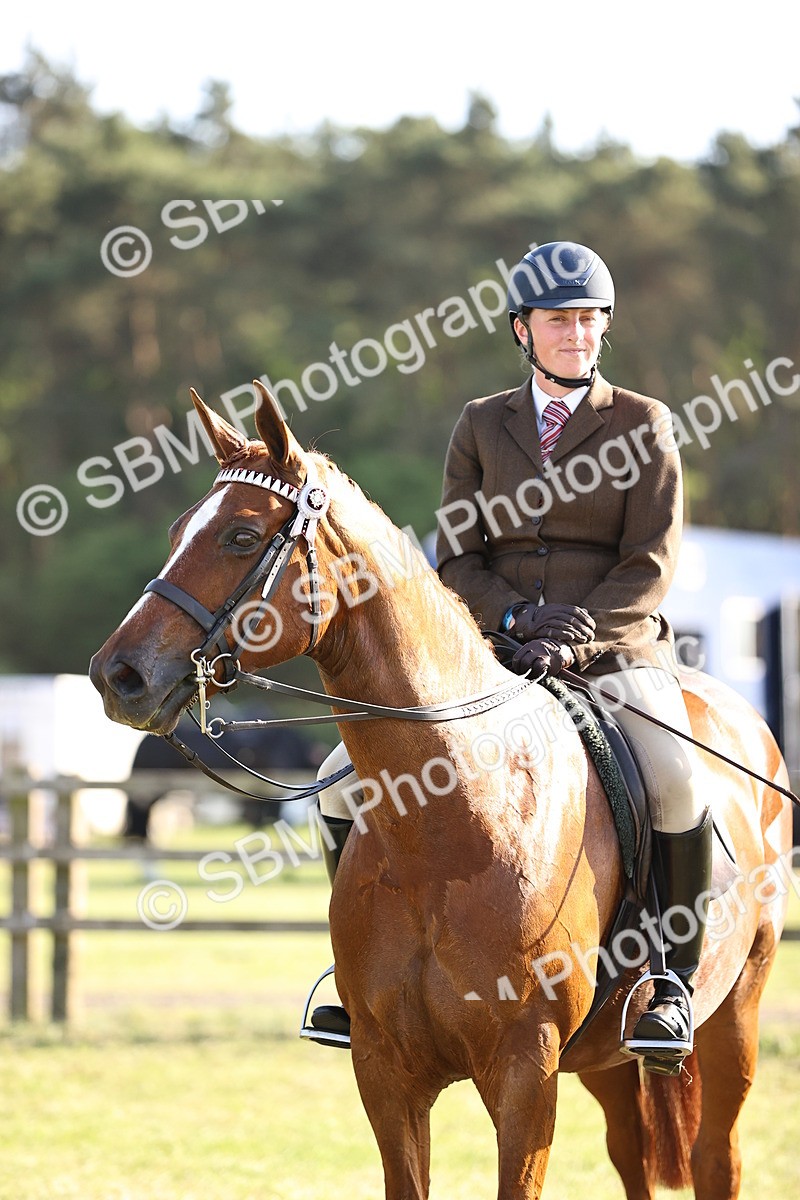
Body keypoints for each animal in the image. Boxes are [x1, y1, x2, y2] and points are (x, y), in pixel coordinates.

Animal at [90, 382, 794, 1200]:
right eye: (179, 531)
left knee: (718, 1155)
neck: (449, 826)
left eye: (239, 536)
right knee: (630, 1154)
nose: (118, 675)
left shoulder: (525, 1075)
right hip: (607, 1062)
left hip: (734, 1015)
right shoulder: (386, 1075)